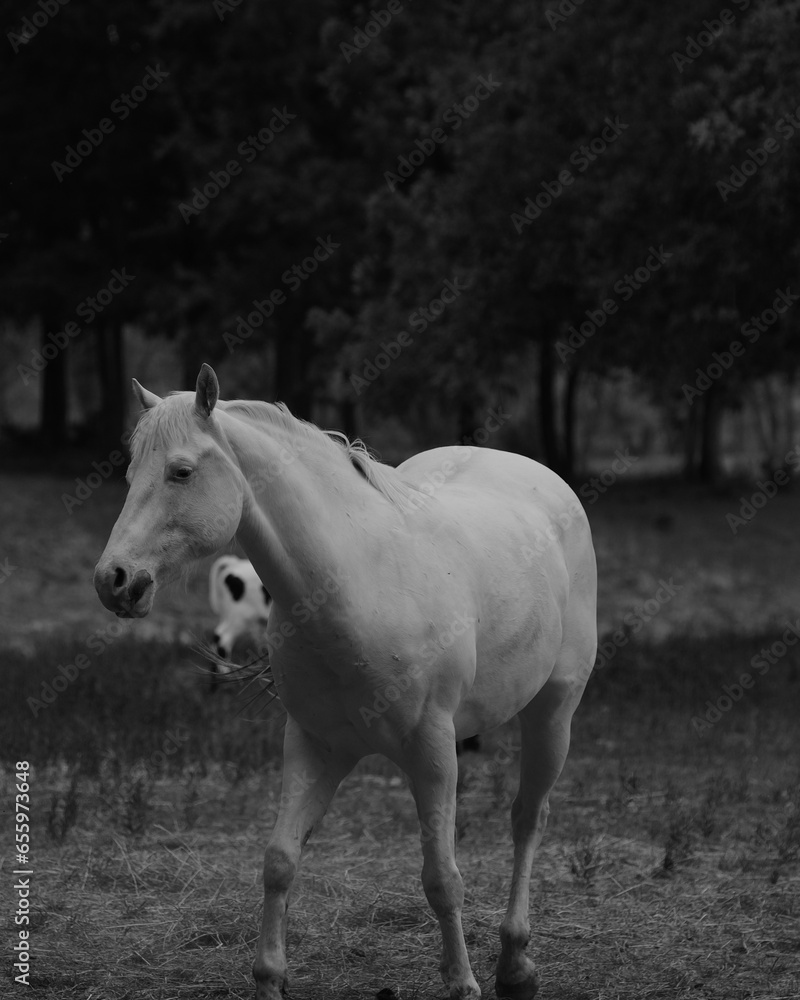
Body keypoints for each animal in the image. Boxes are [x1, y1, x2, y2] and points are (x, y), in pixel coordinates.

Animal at [94, 365, 597, 1000]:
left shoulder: (433, 753)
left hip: (554, 712)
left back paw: (515, 964)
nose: (114, 580)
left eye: (180, 471)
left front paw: (463, 982)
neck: (357, 583)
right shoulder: (314, 745)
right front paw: (269, 979)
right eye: (131, 473)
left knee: (528, 818)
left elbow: (442, 878)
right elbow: (280, 861)